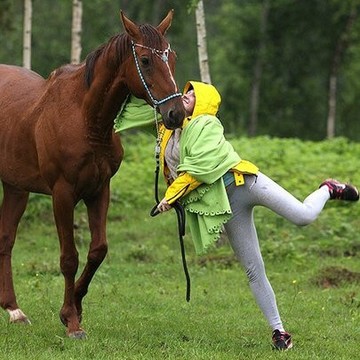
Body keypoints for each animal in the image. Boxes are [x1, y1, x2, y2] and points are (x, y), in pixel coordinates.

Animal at [0, 10, 184, 338]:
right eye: (146, 60)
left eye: (171, 57)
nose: (176, 113)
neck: (85, 119)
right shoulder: (62, 194)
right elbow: (69, 258)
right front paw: (72, 322)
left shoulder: (99, 190)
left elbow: (98, 250)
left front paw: (73, 308)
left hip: (15, 187)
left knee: (6, 239)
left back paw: (14, 310)